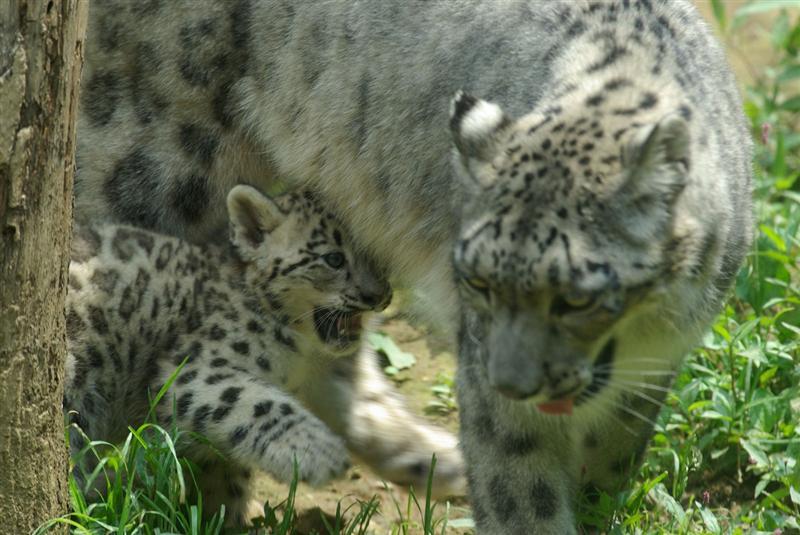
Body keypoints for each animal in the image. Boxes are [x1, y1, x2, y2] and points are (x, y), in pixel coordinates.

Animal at [73, 0, 752, 532]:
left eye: (577, 296)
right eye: (477, 281)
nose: (510, 383)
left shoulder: (656, 365)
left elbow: (615, 455)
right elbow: (522, 491)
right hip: (146, 166)